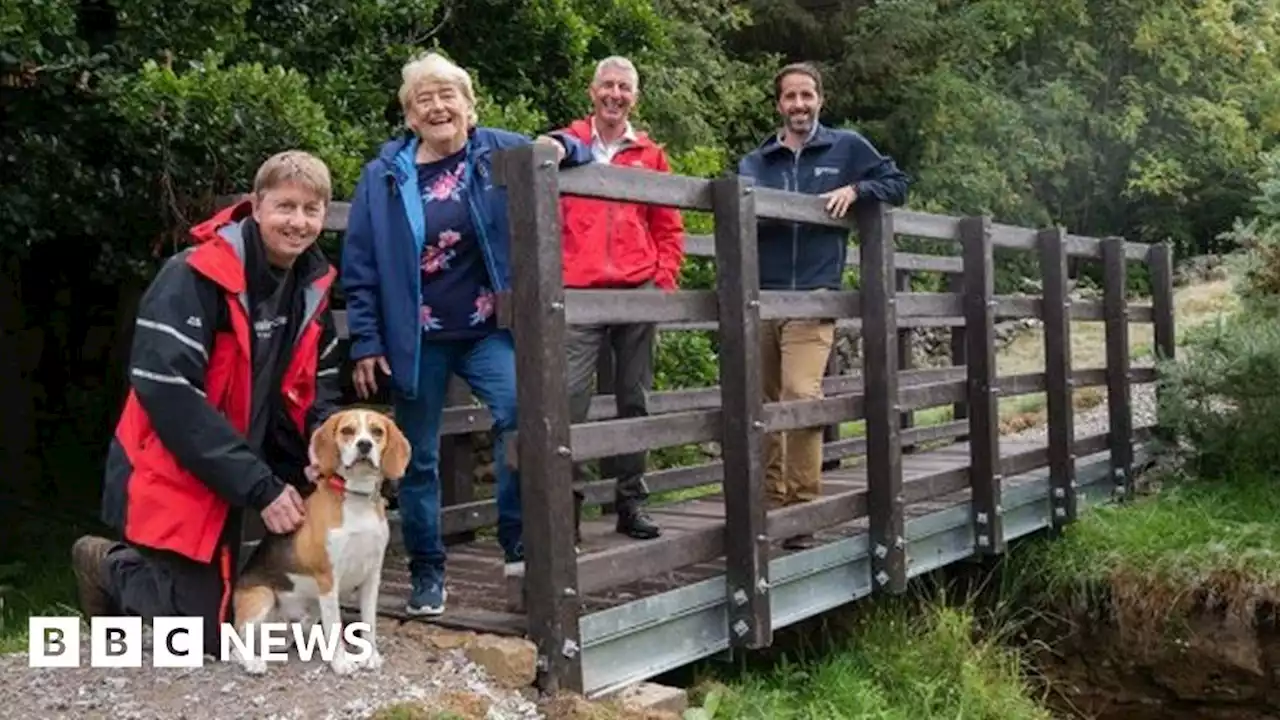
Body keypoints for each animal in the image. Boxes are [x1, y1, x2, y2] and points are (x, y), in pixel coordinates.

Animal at [230, 409, 409, 671]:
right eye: (347, 431)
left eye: (377, 431)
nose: (364, 445)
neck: (356, 498)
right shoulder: (328, 580)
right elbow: (334, 625)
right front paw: (341, 663)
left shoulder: (372, 576)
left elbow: (369, 622)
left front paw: (370, 656)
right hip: (262, 597)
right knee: (235, 645)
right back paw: (253, 662)